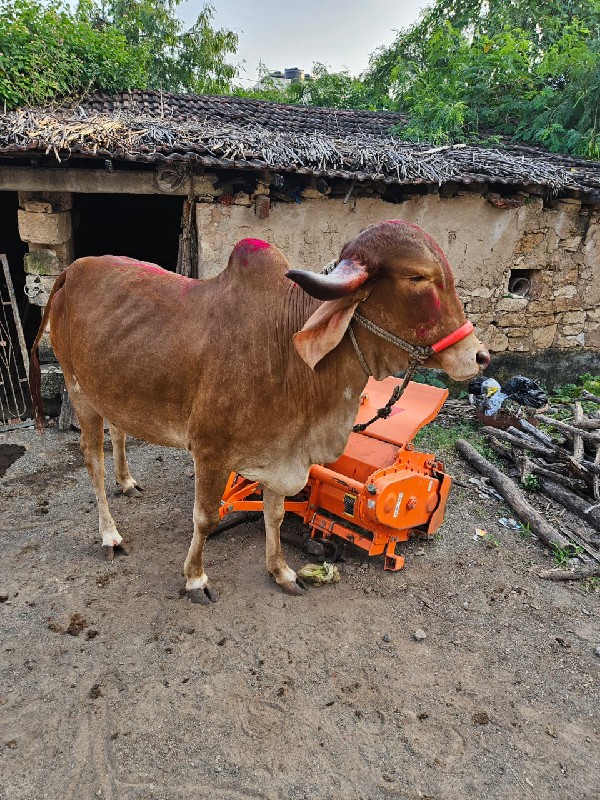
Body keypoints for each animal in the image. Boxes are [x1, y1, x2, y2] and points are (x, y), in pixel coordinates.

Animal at [29, 222, 488, 604]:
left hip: (114, 390)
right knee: (93, 463)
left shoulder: (282, 452)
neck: (286, 349)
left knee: (120, 432)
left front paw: (282, 571)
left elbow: (276, 514)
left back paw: (127, 482)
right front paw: (195, 579)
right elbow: (205, 518)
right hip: (79, 391)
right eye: (417, 278)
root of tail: (72, 270)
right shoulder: (211, 453)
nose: (479, 356)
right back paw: (110, 534)